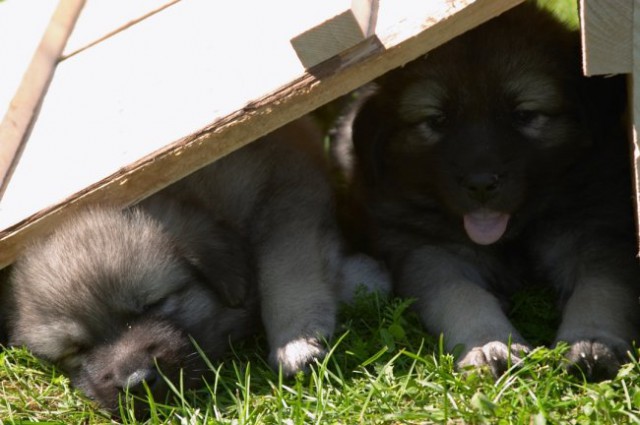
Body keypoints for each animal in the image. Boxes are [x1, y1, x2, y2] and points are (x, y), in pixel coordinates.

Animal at [5, 114, 384, 412]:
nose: (137, 382)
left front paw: (297, 339)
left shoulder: (286, 189)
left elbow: (285, 269)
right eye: (77, 349)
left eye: (154, 304)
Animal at [340, 3, 640, 380]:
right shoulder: (433, 251)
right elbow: (462, 296)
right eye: (437, 121)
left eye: (524, 114)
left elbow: (601, 289)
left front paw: (591, 341)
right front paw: (489, 345)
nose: (480, 183)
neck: (514, 236)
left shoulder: (595, 233)